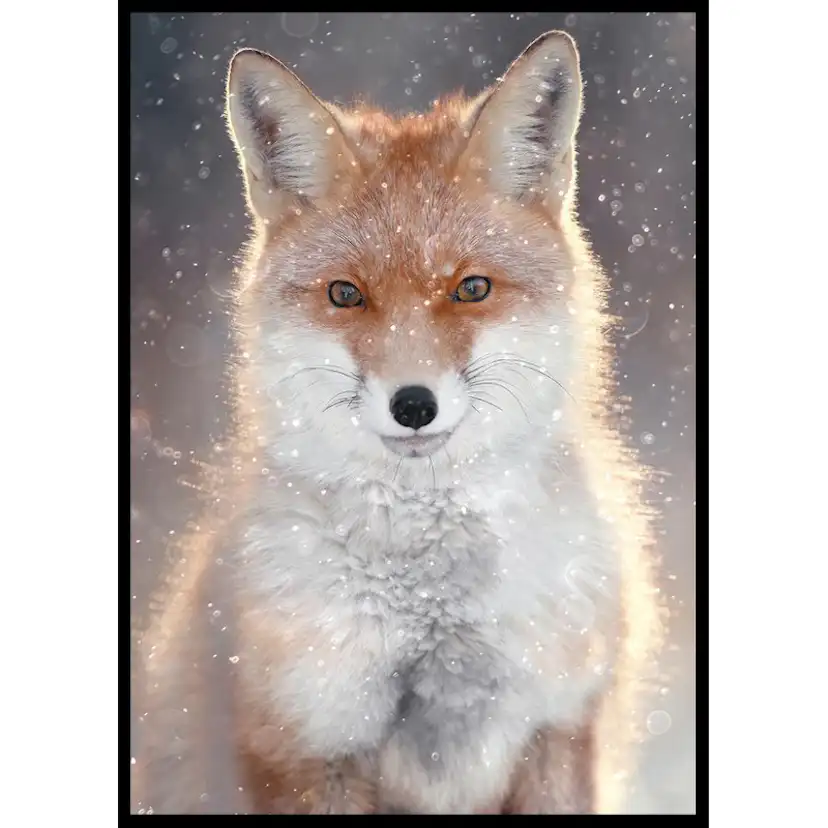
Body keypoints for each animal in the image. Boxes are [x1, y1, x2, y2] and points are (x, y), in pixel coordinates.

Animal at [133, 30, 662, 815]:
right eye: (345, 295)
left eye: (471, 288)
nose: (414, 405)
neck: (433, 608)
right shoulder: (307, 739)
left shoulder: (559, 726)